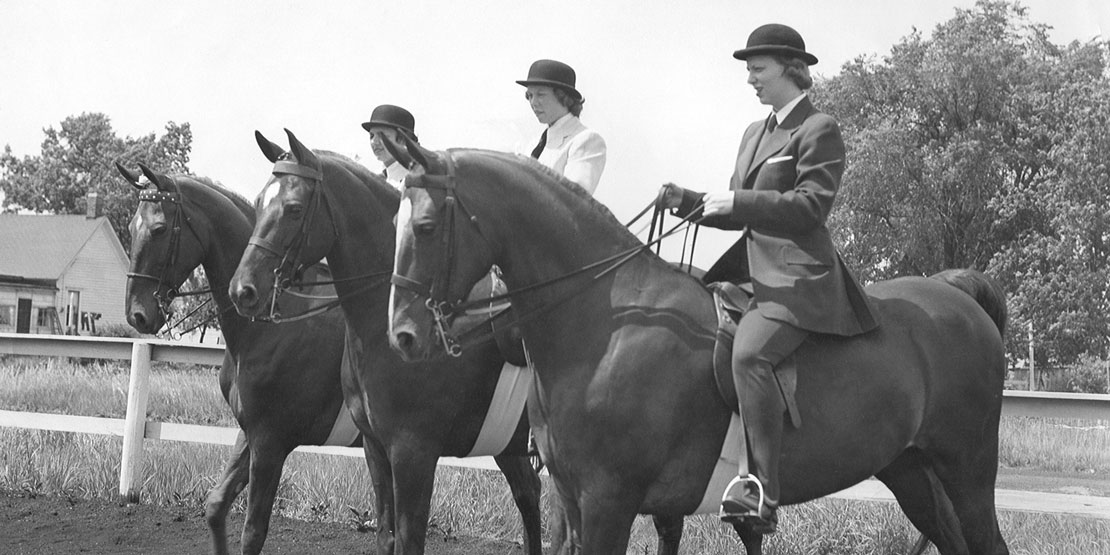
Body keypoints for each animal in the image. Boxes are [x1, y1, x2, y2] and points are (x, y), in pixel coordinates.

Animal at [117, 162, 359, 552]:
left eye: (159, 229)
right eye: (130, 228)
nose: (137, 315)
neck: (273, 319)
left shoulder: (270, 442)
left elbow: (253, 532)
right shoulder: (250, 433)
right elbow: (216, 506)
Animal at [224, 128, 541, 555]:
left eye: (293, 208)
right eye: (258, 204)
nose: (243, 290)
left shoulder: (413, 453)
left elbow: (409, 539)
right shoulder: (376, 448)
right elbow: (386, 535)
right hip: (509, 444)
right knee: (530, 495)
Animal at [386, 143, 1012, 555]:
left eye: (426, 226)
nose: (403, 336)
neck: (604, 322)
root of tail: (957, 294)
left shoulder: (608, 502)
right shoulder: (573, 499)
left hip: (968, 472)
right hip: (910, 471)